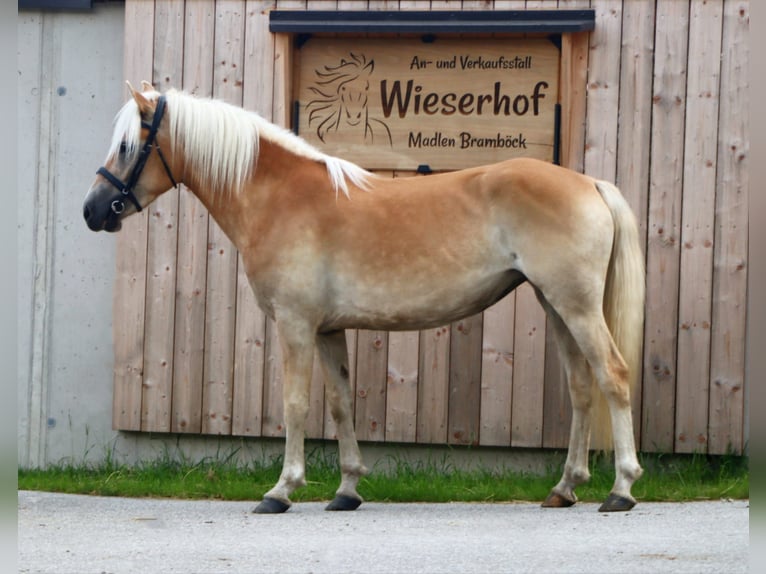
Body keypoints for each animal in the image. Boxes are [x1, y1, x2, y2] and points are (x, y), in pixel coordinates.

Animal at [84, 82, 648, 516]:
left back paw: (621, 488)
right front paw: (347, 489)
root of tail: (589, 183)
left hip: (575, 306)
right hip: (557, 306)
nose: (93, 210)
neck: (278, 196)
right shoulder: (328, 329)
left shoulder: (294, 325)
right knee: (581, 388)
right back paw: (565, 487)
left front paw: (282, 490)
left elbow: (295, 403)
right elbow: (339, 404)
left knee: (613, 376)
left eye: (129, 147)